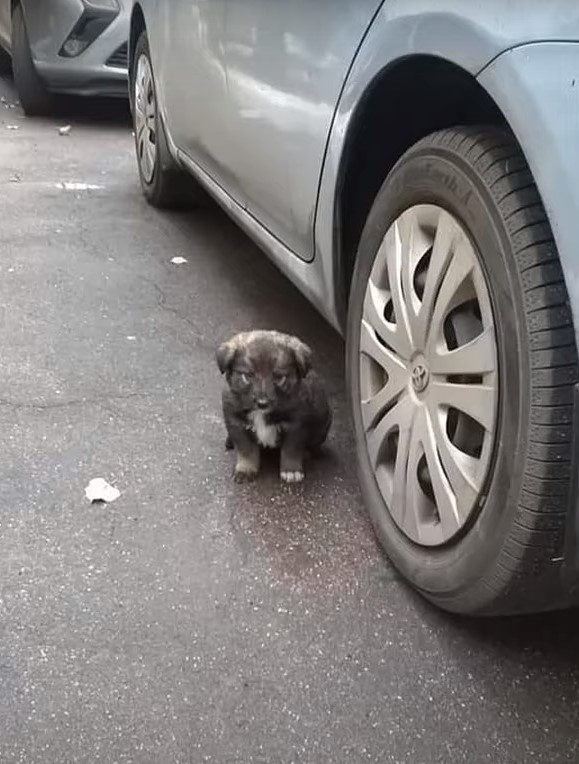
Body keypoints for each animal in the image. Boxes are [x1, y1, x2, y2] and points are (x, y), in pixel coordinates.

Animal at [218, 330, 334, 484]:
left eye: (279, 378)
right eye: (247, 376)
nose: (262, 403)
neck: (261, 414)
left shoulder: (296, 425)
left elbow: (291, 449)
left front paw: (291, 471)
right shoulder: (235, 422)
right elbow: (246, 449)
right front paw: (245, 469)